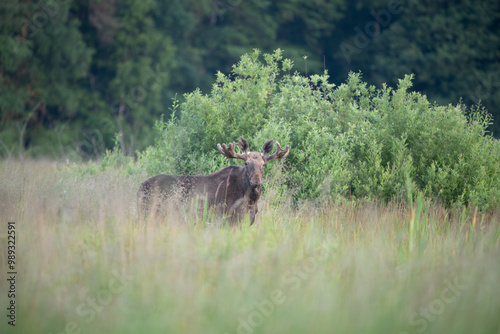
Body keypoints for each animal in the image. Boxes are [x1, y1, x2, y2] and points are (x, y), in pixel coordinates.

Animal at [137, 137, 292, 226]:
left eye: (264, 164)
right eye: (246, 163)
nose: (256, 182)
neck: (251, 201)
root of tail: (140, 188)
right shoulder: (228, 219)